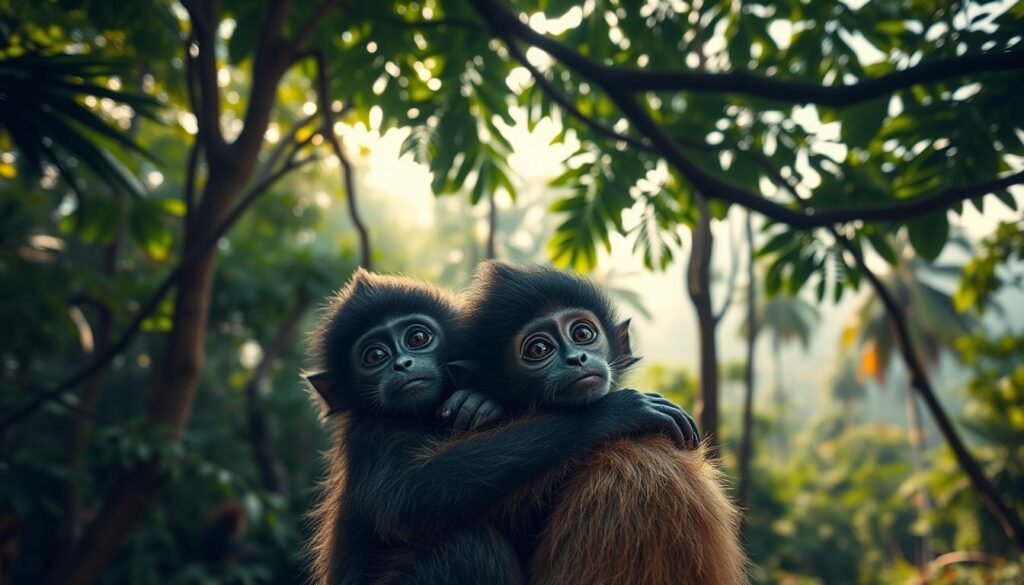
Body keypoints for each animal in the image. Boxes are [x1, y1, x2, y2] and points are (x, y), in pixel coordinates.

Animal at [304, 268, 700, 585]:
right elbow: (406, 496)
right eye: (375, 356)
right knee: (467, 545)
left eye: (417, 339)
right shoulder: (371, 433)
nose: (401, 364)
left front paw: (477, 402)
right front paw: (620, 410)